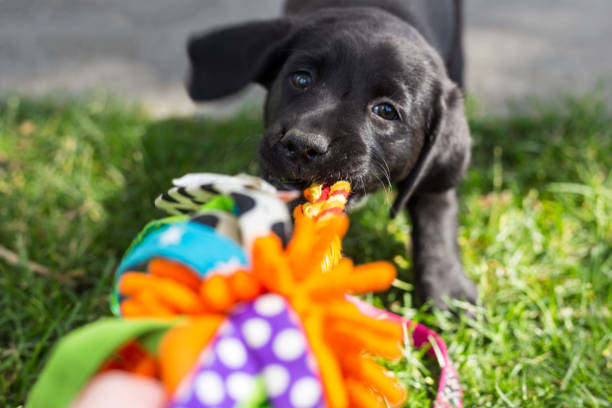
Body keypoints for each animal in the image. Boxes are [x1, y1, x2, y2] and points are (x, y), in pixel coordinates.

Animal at [186, 0, 478, 308]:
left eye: (386, 110)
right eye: (301, 79)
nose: (303, 145)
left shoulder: (436, 171)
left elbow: (436, 212)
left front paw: (449, 291)